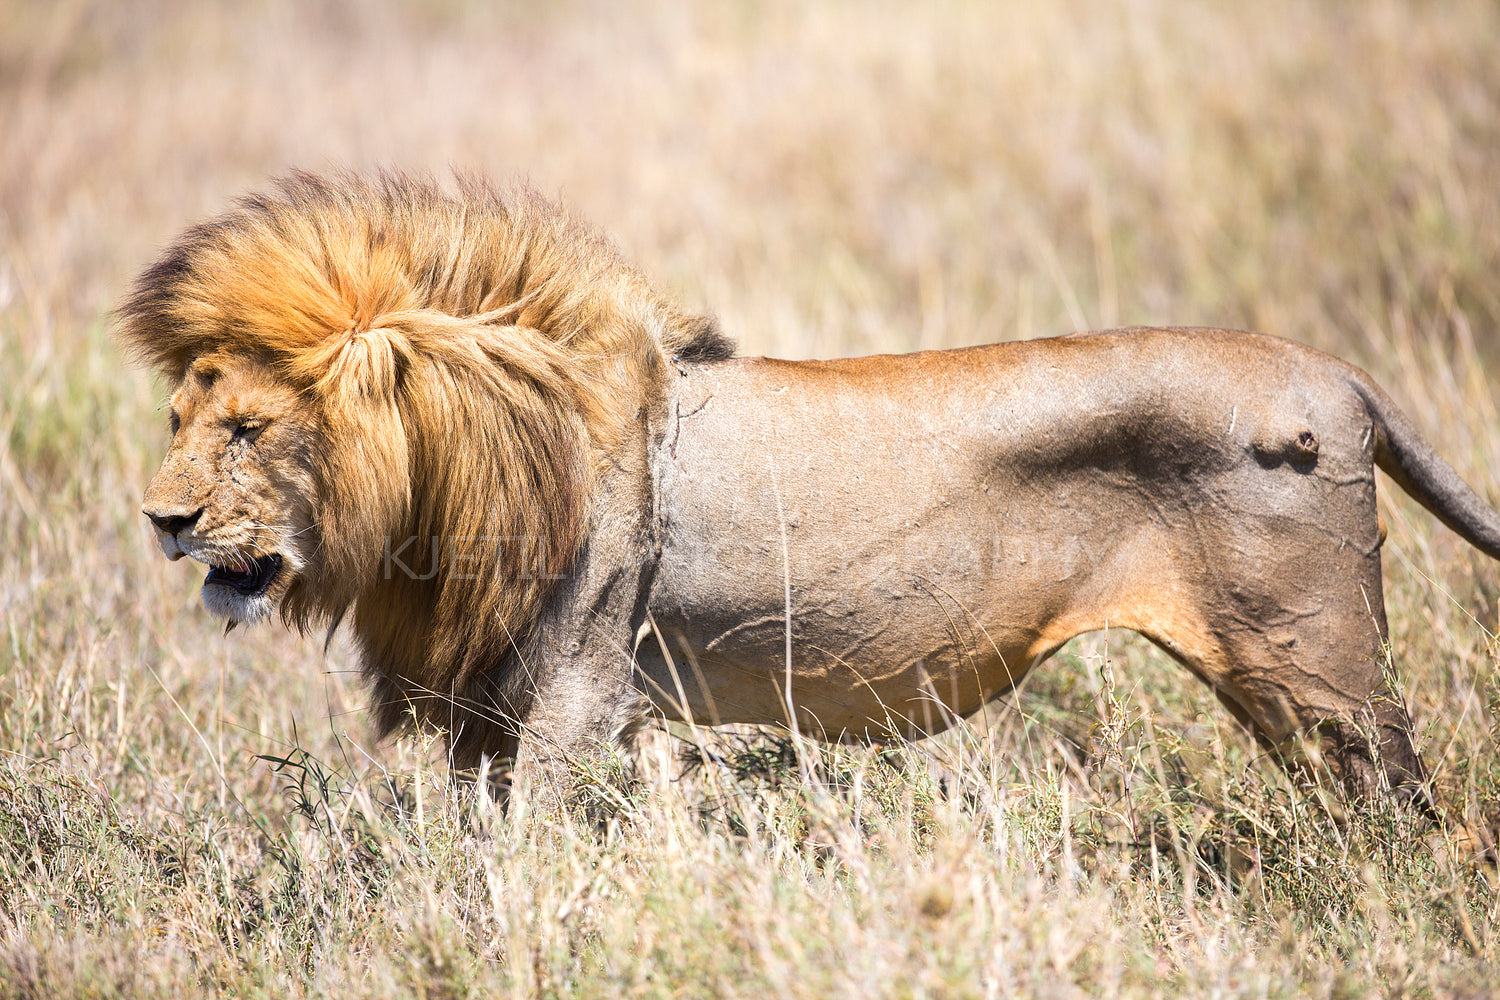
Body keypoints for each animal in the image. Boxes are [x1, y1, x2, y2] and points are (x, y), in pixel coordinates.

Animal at [117, 173, 1500, 815]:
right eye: (177, 422)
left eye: (248, 429)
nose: (163, 522)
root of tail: (1340, 375)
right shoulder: (489, 703)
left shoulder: (577, 684)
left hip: (1317, 661)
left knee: (1409, 809)